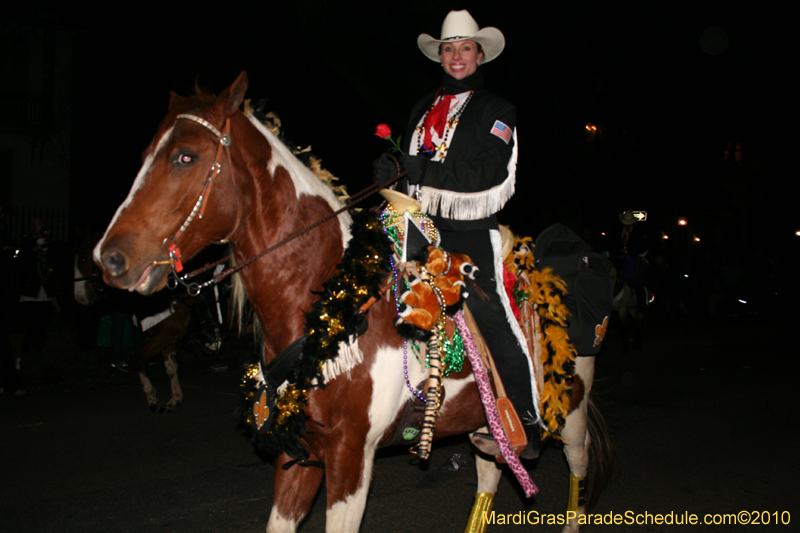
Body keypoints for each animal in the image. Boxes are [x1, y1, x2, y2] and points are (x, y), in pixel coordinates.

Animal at [90, 71, 608, 532]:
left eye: (185, 157)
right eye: (146, 156)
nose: (108, 259)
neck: (332, 306)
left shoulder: (351, 459)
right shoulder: (298, 452)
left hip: (571, 411)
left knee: (578, 472)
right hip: (485, 426)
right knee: (490, 473)